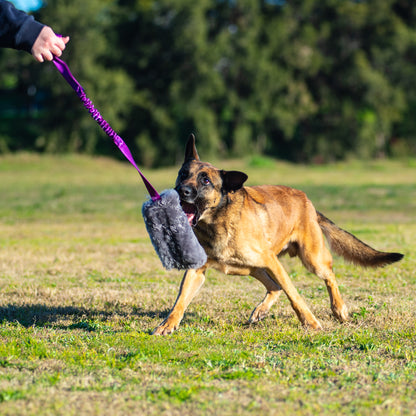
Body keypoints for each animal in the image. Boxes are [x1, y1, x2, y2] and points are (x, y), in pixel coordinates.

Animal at [152, 135, 404, 336]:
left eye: (205, 181)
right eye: (183, 174)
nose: (181, 191)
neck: (217, 222)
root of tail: (308, 202)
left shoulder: (273, 262)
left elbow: (295, 296)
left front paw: (311, 323)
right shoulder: (197, 271)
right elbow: (179, 302)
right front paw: (168, 324)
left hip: (310, 259)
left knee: (328, 276)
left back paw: (339, 309)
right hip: (251, 268)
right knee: (274, 287)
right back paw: (261, 311)